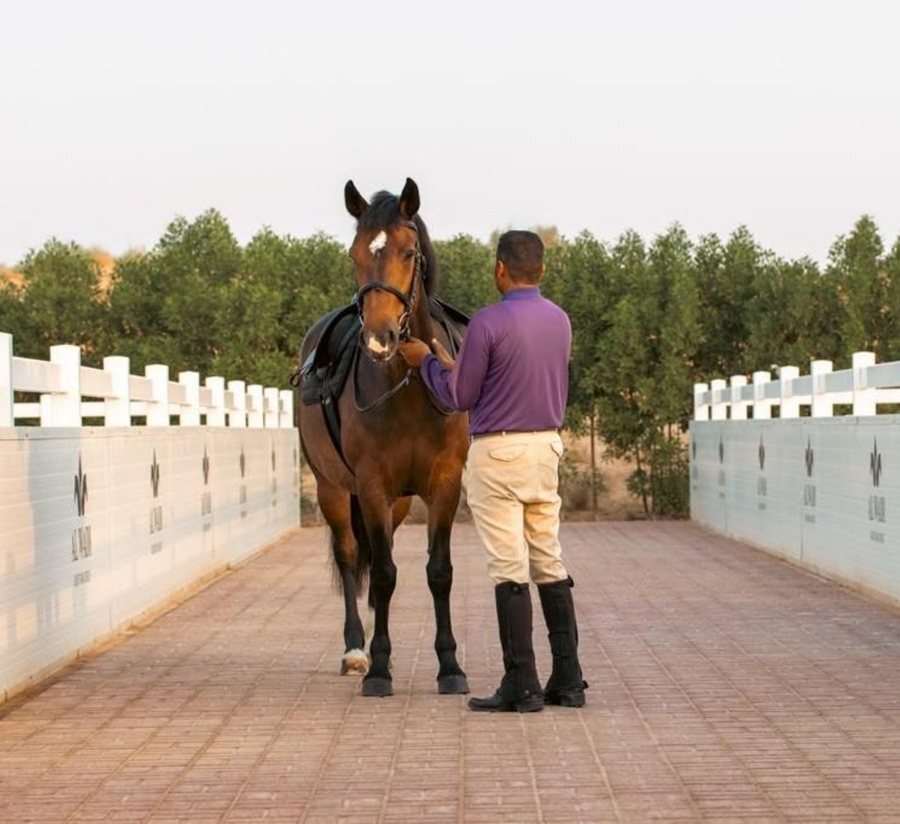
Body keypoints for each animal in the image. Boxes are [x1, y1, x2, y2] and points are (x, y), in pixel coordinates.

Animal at [298, 178, 470, 697]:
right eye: (354, 253)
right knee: (353, 557)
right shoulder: (371, 485)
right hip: (333, 489)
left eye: (409, 252)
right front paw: (378, 667)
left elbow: (438, 571)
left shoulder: (443, 485)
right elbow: (384, 572)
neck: (411, 389)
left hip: (396, 503)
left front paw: (450, 667)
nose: (379, 339)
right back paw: (357, 649)